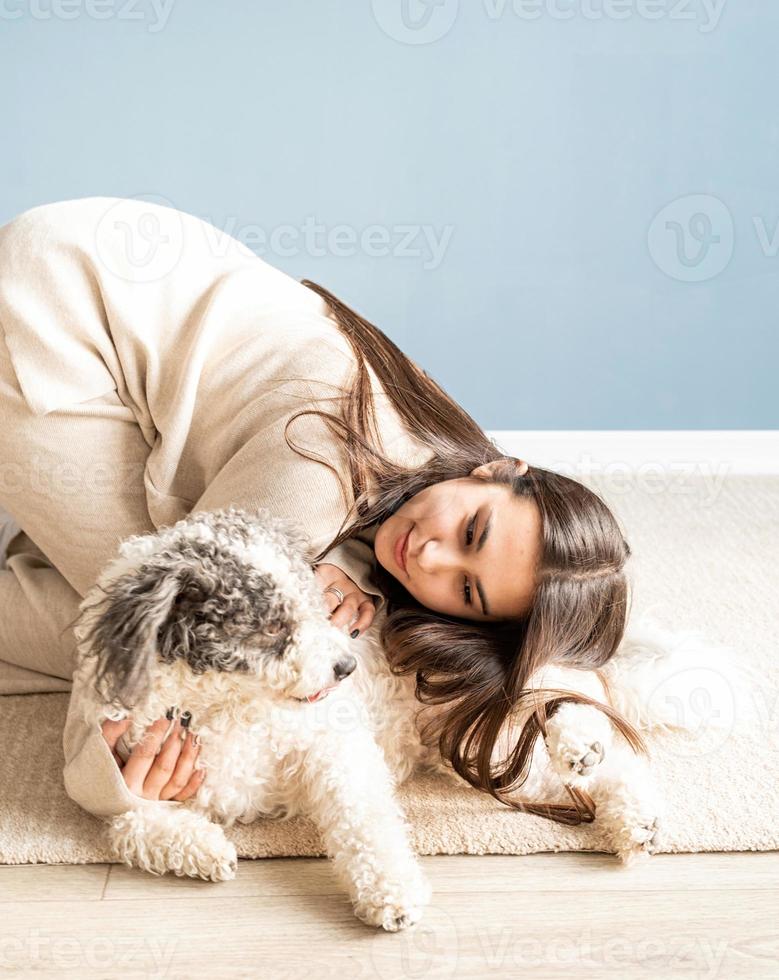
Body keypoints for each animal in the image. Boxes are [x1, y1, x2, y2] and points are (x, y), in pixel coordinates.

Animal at [67, 510, 736, 932]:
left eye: (316, 604)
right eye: (275, 627)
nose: (343, 665)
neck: (225, 707)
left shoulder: (333, 750)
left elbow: (366, 827)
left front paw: (392, 896)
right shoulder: (131, 766)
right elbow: (125, 826)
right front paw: (203, 849)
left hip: (494, 722)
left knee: (577, 716)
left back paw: (593, 756)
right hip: (469, 750)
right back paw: (633, 822)